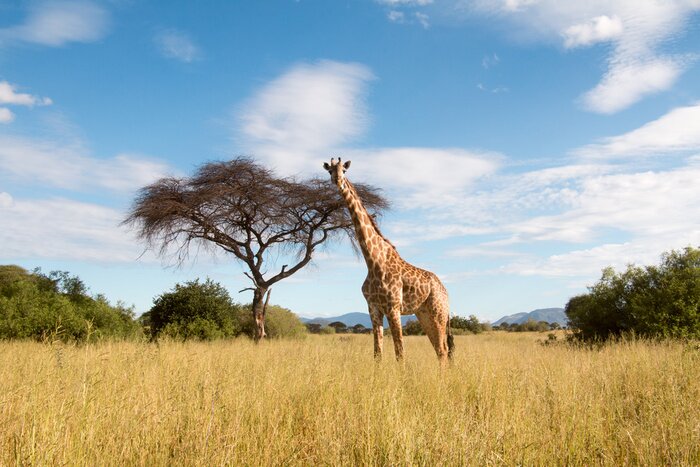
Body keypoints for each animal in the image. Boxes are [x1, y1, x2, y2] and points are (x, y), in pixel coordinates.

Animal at [323, 157, 454, 365]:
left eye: (344, 170)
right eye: (330, 171)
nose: (337, 180)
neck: (373, 262)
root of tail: (445, 291)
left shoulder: (393, 308)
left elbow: (400, 353)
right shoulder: (373, 309)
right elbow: (377, 353)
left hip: (439, 312)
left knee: (443, 349)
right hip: (423, 313)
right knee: (439, 349)